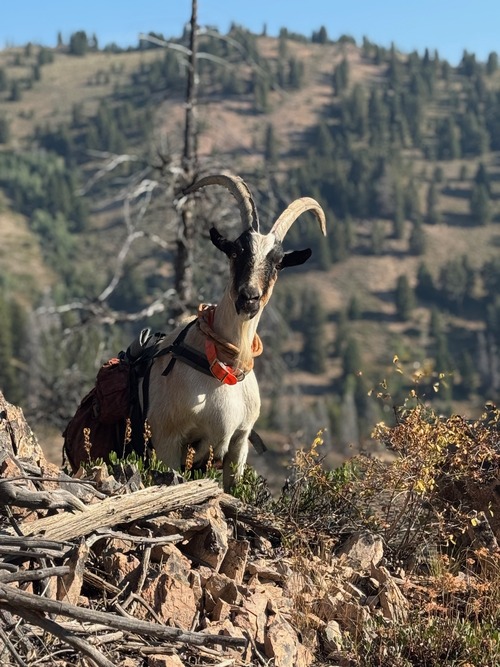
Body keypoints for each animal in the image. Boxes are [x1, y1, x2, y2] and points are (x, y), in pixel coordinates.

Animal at [145, 174, 326, 491]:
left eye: (278, 262)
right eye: (235, 251)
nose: (249, 297)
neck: (223, 366)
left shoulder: (239, 443)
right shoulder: (167, 439)